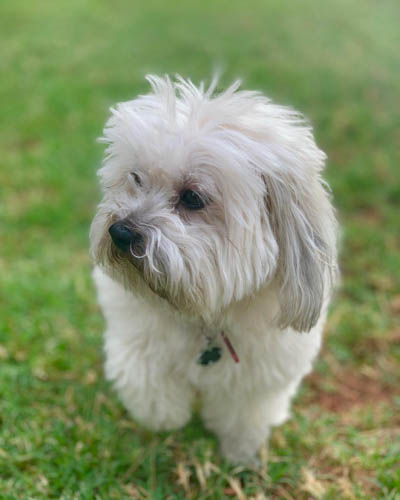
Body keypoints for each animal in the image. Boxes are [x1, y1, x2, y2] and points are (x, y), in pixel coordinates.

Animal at [90, 75, 338, 464]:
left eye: (192, 198)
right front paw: (163, 425)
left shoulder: (258, 377)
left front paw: (241, 455)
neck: (206, 314)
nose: (120, 231)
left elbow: (242, 417)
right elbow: (152, 390)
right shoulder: (140, 346)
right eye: (136, 178)